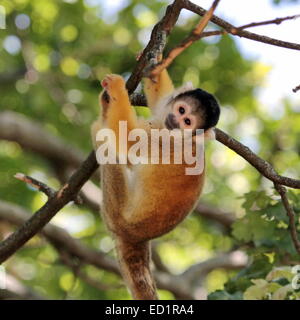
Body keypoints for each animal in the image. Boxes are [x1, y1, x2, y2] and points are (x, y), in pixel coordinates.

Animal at [91, 69, 220, 298]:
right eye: (181, 109)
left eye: (188, 122)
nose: (175, 120)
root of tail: (135, 237)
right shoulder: (163, 116)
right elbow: (160, 96)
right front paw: (153, 64)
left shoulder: (165, 139)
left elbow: (129, 136)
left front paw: (117, 89)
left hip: (113, 210)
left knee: (108, 143)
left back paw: (100, 127)